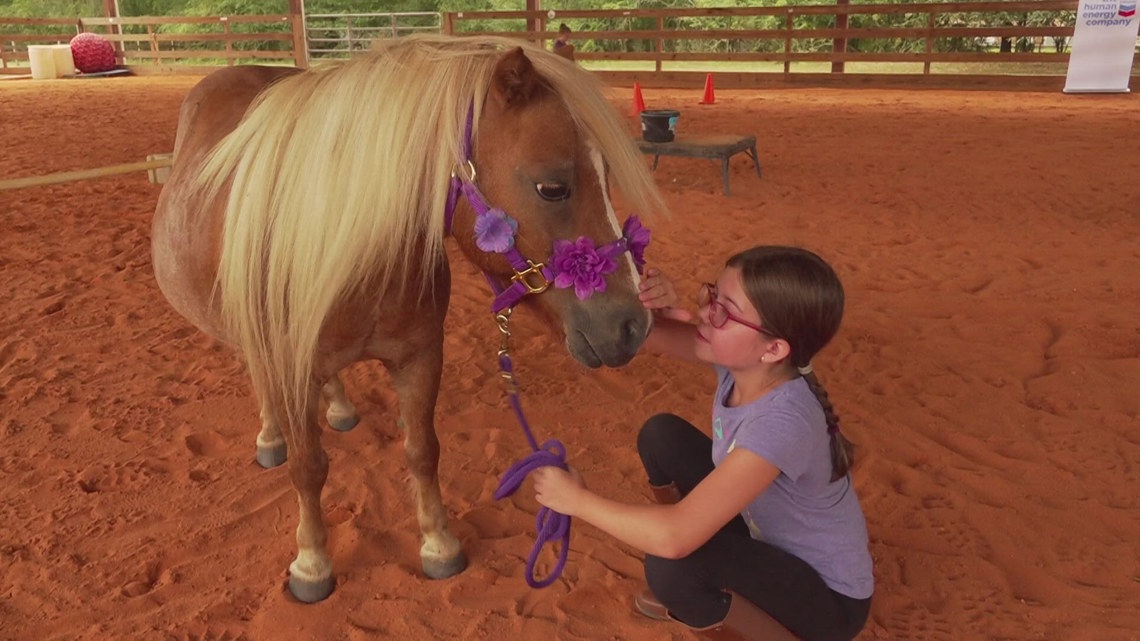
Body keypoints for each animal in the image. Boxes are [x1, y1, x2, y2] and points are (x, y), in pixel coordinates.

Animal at [151, 34, 666, 603]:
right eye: (551, 187)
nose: (632, 327)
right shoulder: (291, 367)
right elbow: (309, 468)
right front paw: (312, 561)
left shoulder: (421, 356)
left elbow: (422, 450)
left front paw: (438, 542)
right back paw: (271, 436)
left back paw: (338, 408)